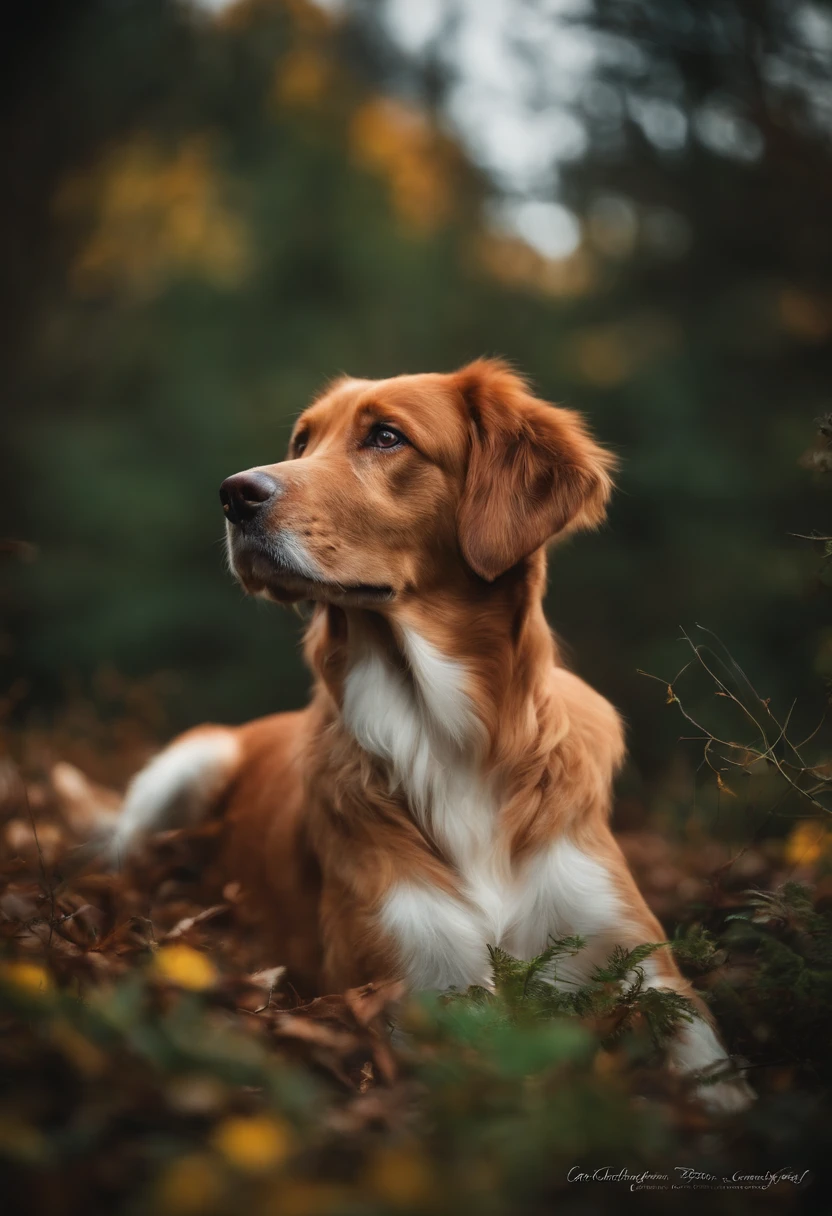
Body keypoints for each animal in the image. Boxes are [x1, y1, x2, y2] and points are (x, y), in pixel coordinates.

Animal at [110, 357, 754, 1113]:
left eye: (386, 437)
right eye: (302, 441)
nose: (235, 495)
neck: (445, 734)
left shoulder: (641, 962)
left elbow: (711, 1068)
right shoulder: (413, 991)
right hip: (189, 760)